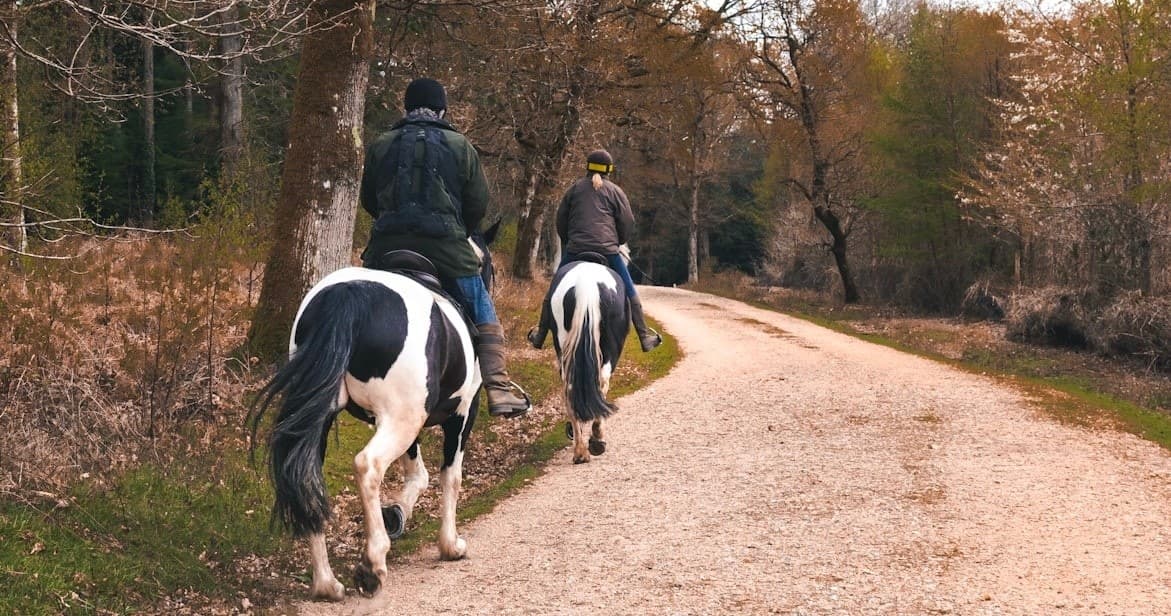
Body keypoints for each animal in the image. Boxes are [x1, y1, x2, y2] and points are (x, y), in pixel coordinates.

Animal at [249, 224, 499, 600]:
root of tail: (350, 295)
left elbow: (418, 474)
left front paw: (396, 514)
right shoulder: (461, 415)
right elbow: (449, 477)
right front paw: (450, 545)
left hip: (328, 418)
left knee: (307, 476)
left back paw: (326, 583)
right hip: (401, 420)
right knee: (368, 466)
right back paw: (372, 564)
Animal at [536, 250, 631, 464]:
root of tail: (586, 286)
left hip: (565, 347)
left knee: (570, 386)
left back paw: (580, 450)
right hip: (610, 348)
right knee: (602, 382)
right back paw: (595, 440)